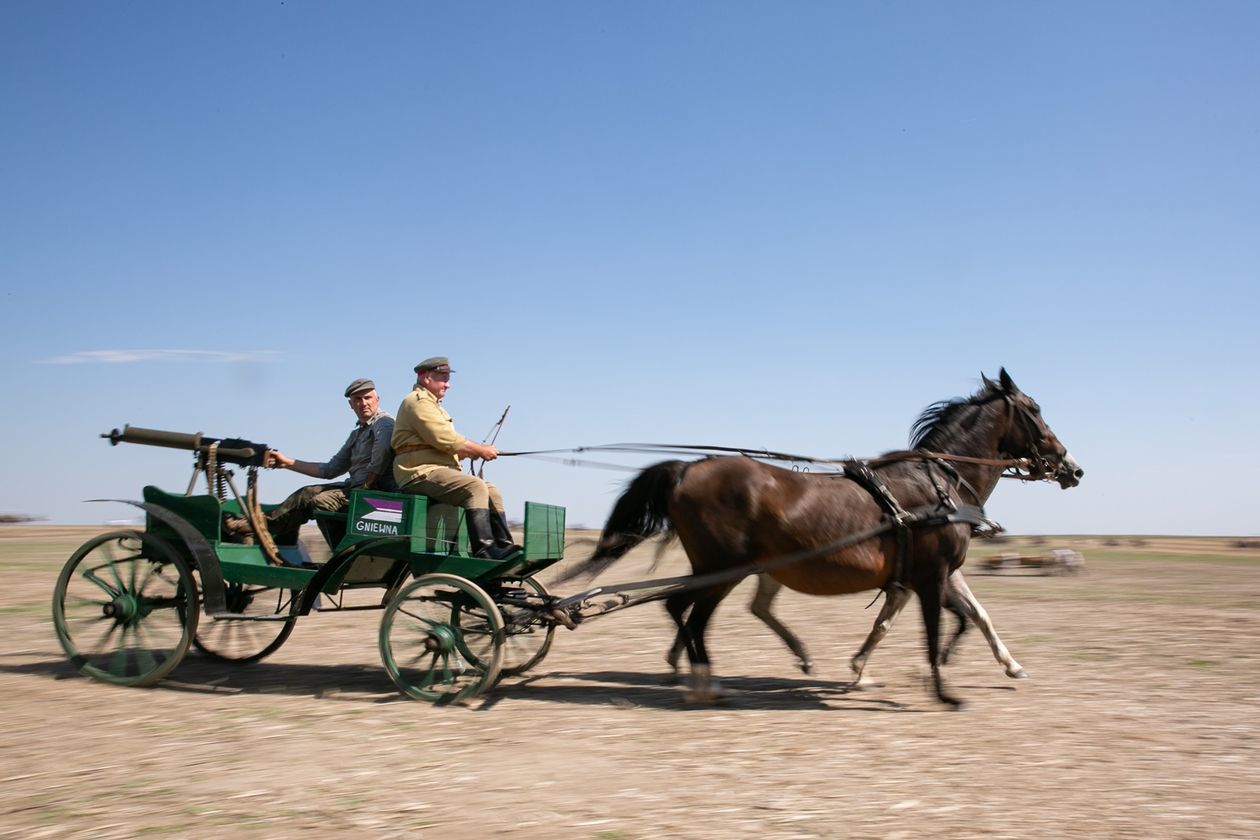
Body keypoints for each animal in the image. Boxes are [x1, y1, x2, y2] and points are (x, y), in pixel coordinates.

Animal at [567, 370, 1078, 705]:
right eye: (1035, 410)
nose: (1072, 467)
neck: (938, 483)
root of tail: (689, 469)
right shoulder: (931, 575)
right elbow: (935, 627)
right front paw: (940, 687)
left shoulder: (931, 574)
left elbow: (970, 617)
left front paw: (1006, 665)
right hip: (724, 567)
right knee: (691, 615)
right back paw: (705, 680)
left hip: (724, 568)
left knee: (686, 609)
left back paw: (704, 673)